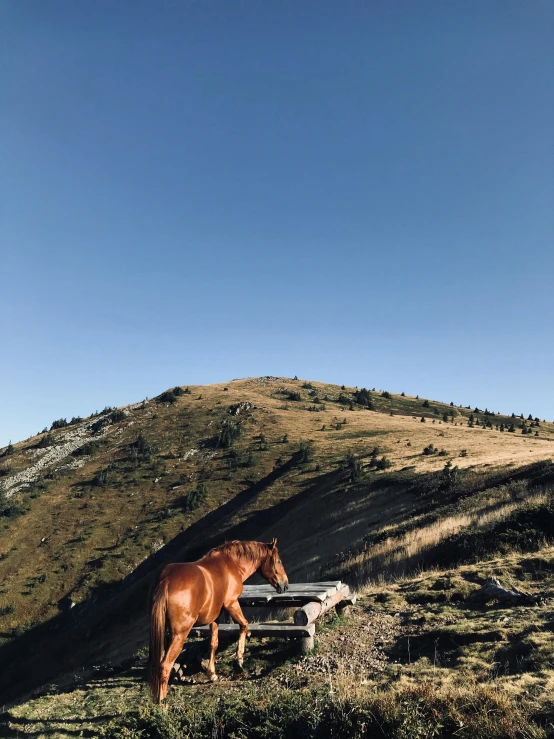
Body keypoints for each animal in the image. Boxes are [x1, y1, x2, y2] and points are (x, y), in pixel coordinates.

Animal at [147, 540, 286, 704]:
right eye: (278, 561)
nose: (285, 585)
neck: (230, 564)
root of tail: (166, 580)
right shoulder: (232, 603)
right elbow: (244, 625)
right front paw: (239, 661)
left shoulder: (215, 617)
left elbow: (213, 643)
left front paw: (212, 673)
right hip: (179, 635)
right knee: (165, 665)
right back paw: (161, 702)